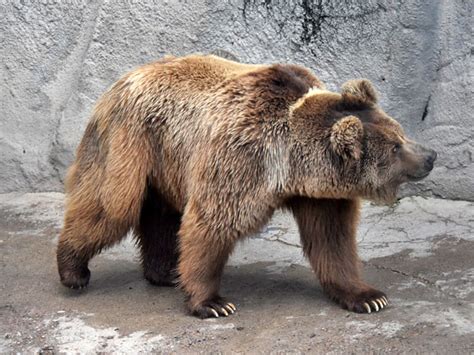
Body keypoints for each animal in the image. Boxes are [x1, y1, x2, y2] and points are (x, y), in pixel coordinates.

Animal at [58, 54, 436, 318]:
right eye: (396, 146)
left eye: (400, 132)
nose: (431, 155)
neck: (290, 163)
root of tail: (122, 79)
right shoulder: (242, 158)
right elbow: (212, 223)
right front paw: (212, 303)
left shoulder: (320, 193)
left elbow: (332, 239)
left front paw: (369, 297)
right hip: (132, 139)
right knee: (110, 206)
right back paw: (73, 270)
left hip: (165, 160)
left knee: (160, 215)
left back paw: (164, 272)